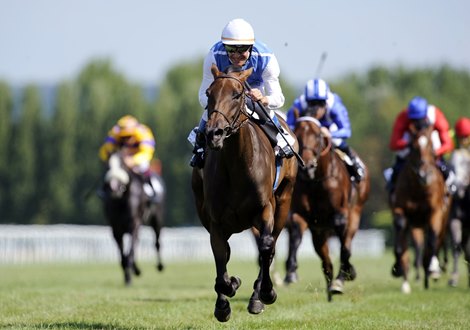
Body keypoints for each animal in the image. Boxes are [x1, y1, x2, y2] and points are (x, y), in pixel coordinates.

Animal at [102, 151, 164, 284]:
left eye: (122, 164)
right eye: (107, 166)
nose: (113, 187)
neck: (121, 200)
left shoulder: (133, 224)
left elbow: (130, 251)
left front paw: (130, 275)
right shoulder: (116, 228)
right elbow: (123, 255)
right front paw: (128, 274)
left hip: (157, 218)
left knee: (156, 241)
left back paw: (160, 266)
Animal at [191, 64, 298, 322]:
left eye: (237, 94)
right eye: (209, 93)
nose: (214, 133)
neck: (236, 164)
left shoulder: (265, 209)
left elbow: (267, 247)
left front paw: (265, 293)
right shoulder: (215, 220)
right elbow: (221, 254)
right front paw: (226, 297)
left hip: (284, 202)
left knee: (269, 246)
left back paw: (259, 295)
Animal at [288, 114, 370, 302]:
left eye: (318, 136)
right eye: (297, 133)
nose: (307, 166)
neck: (316, 180)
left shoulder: (340, 215)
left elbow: (345, 250)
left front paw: (343, 278)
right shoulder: (302, 216)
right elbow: (295, 236)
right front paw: (291, 270)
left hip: (355, 214)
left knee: (346, 246)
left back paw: (341, 279)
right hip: (319, 233)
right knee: (327, 263)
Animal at [390, 120, 448, 292]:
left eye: (431, 145)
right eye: (414, 147)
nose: (424, 175)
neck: (418, 189)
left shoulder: (436, 211)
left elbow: (433, 239)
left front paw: (433, 268)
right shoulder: (400, 209)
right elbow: (401, 242)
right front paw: (400, 272)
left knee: (435, 242)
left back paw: (430, 274)